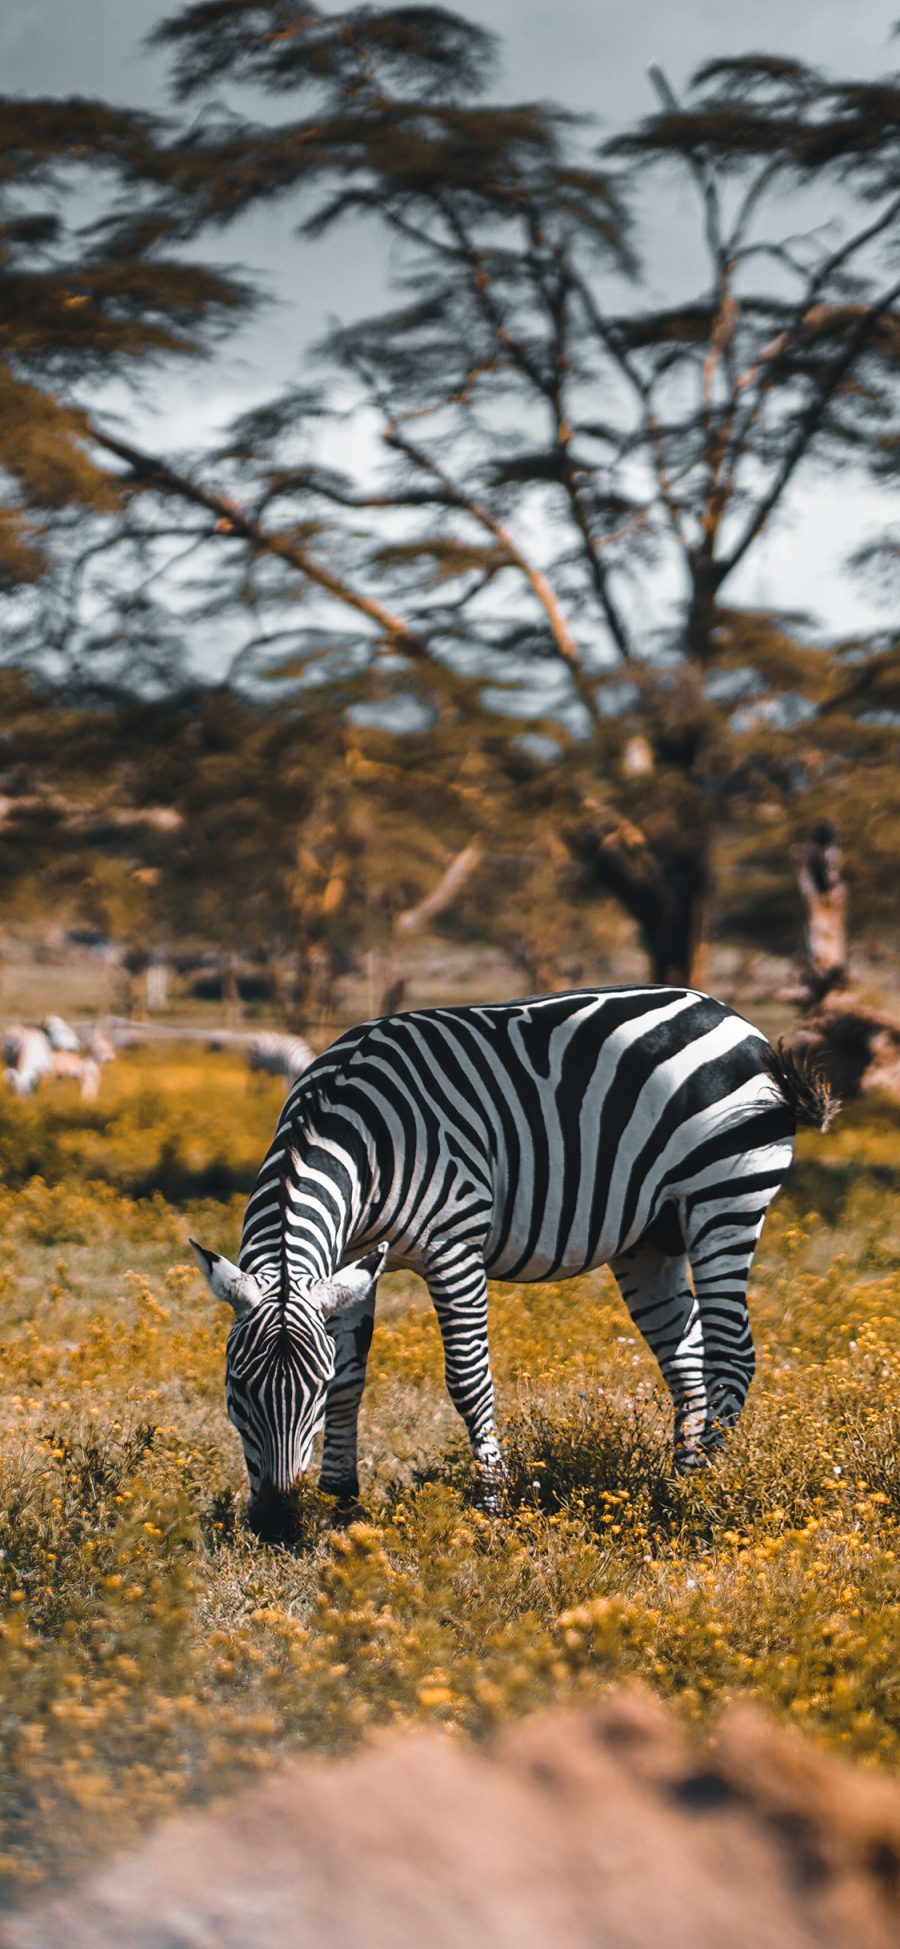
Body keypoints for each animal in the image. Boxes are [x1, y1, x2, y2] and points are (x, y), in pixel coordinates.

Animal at [191, 990, 837, 1535]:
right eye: (236, 1385)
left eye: (312, 1392)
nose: (277, 1525)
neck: (355, 1134)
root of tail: (727, 1014)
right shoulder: (350, 1262)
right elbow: (354, 1377)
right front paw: (343, 1506)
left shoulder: (453, 1246)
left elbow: (467, 1381)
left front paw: (491, 1509)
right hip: (653, 1238)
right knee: (687, 1359)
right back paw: (673, 1486)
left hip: (726, 1198)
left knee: (732, 1354)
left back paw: (700, 1494)